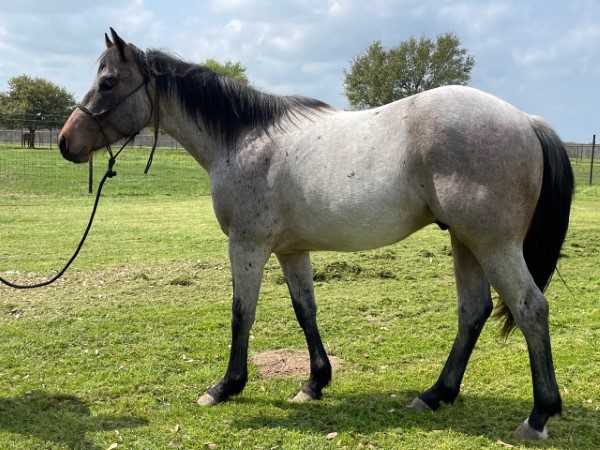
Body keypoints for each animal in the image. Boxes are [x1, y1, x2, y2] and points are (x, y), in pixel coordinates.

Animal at [58, 29, 576, 440]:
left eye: (108, 82)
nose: (66, 142)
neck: (245, 139)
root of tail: (526, 120)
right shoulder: (291, 251)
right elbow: (305, 311)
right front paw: (314, 383)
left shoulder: (246, 246)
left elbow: (241, 314)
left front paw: (225, 387)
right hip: (465, 242)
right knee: (472, 311)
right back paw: (434, 395)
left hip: (492, 245)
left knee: (530, 309)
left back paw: (538, 415)